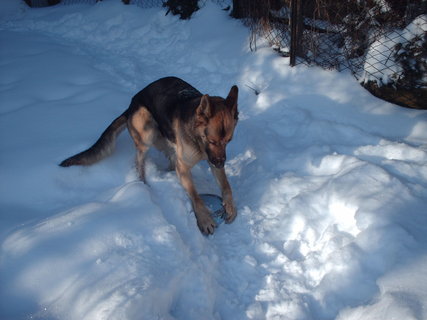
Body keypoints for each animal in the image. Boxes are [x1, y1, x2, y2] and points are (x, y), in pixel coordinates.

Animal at [60, 76, 239, 234]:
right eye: (212, 141)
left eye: (228, 141)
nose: (221, 163)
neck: (198, 142)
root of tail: (131, 105)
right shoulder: (186, 165)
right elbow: (196, 196)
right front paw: (204, 219)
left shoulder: (212, 161)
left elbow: (226, 187)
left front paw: (230, 207)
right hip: (147, 133)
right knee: (140, 162)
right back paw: (143, 185)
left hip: (165, 141)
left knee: (169, 159)